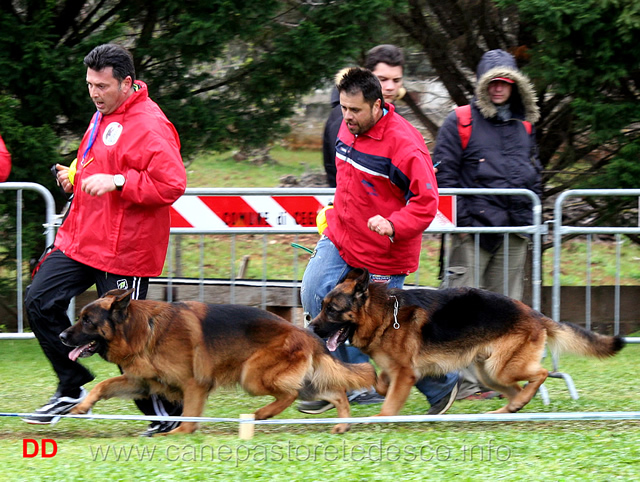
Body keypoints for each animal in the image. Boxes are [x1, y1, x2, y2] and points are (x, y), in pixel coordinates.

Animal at [59, 288, 376, 434]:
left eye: (87, 321)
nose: (61, 335)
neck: (144, 329)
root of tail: (305, 333)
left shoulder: (194, 385)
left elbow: (188, 417)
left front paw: (179, 434)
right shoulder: (142, 383)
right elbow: (103, 385)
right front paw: (82, 406)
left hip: (251, 376)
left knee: (289, 393)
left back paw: (262, 414)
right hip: (305, 380)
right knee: (335, 393)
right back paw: (342, 424)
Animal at [310, 270, 624, 416]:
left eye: (332, 310)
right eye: (323, 307)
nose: (311, 327)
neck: (385, 315)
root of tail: (536, 314)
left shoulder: (406, 373)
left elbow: (388, 404)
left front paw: (379, 418)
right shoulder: (396, 371)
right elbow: (380, 384)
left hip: (502, 369)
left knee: (542, 374)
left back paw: (519, 402)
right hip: (489, 373)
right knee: (517, 390)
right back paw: (510, 409)